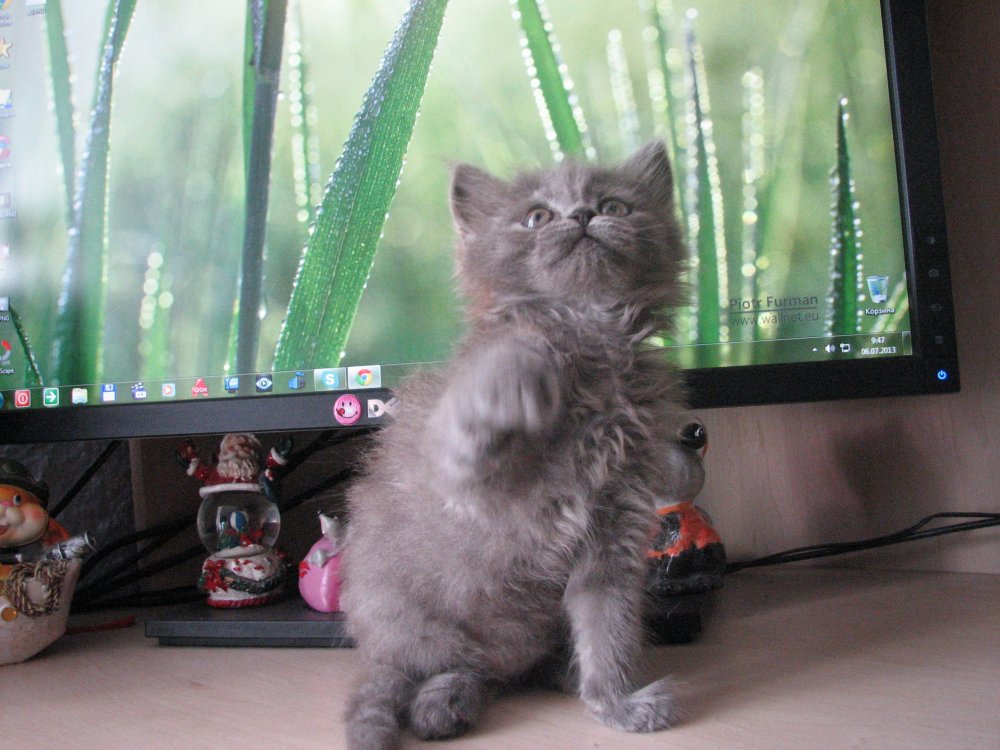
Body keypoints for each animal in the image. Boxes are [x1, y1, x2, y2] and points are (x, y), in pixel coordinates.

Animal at [340, 140, 701, 749]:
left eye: (615, 206)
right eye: (536, 217)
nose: (582, 216)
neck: (593, 335)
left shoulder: (617, 527)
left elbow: (608, 627)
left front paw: (616, 704)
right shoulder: (463, 480)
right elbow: (509, 362)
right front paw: (524, 367)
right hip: (417, 624)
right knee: (441, 666)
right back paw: (443, 703)